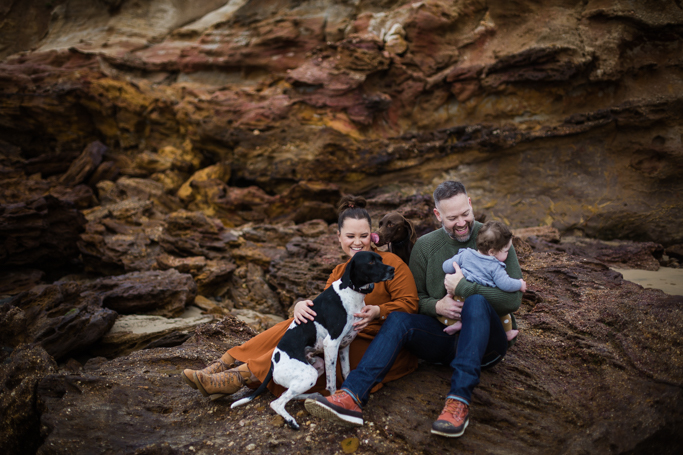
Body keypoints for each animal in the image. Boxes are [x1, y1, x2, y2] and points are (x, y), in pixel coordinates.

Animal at [231, 251, 396, 430]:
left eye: (380, 259)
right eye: (371, 262)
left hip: (316, 367)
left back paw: (313, 396)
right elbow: (332, 383)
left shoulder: (344, 345)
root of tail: (273, 364)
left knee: (288, 394)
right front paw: (333, 403)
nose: (392, 269)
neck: (351, 292)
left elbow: (346, 373)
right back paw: (291, 420)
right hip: (309, 374)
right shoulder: (331, 344)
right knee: (277, 402)